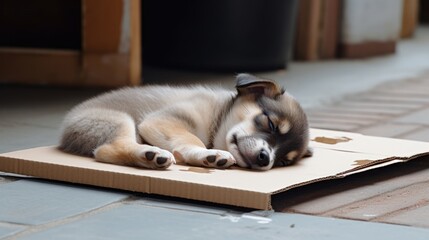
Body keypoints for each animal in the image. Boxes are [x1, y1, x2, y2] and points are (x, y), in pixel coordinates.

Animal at [58, 73, 310, 171]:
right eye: (270, 124)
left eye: (283, 162)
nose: (265, 158)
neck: (218, 117)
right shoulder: (164, 120)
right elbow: (191, 138)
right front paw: (210, 155)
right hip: (119, 120)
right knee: (107, 150)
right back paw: (151, 154)